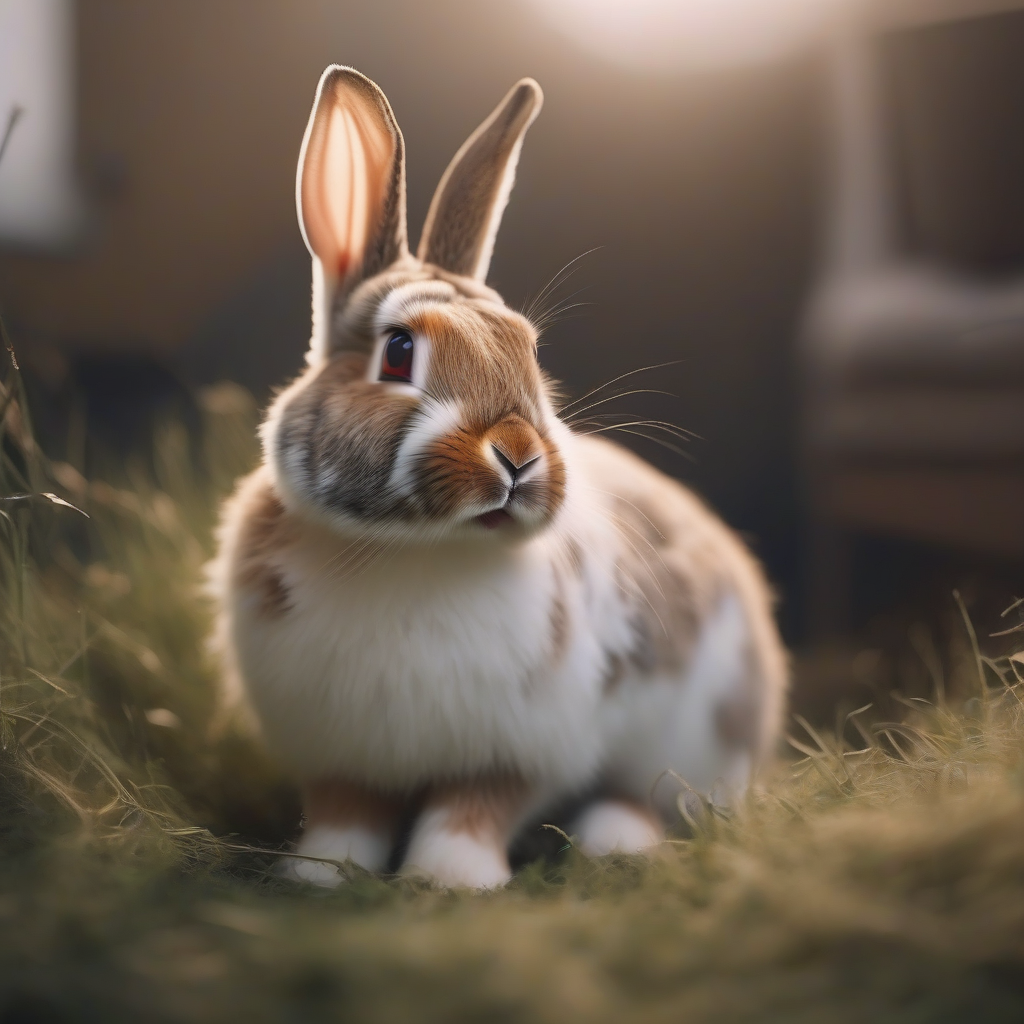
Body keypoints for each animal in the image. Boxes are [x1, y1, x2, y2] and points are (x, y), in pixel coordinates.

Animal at [209, 66, 788, 890]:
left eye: (528, 351)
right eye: (397, 353)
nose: (517, 454)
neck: (410, 554)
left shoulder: (522, 749)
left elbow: (473, 808)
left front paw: (447, 879)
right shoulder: (340, 752)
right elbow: (347, 812)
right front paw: (319, 873)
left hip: (690, 740)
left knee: (655, 800)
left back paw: (614, 841)